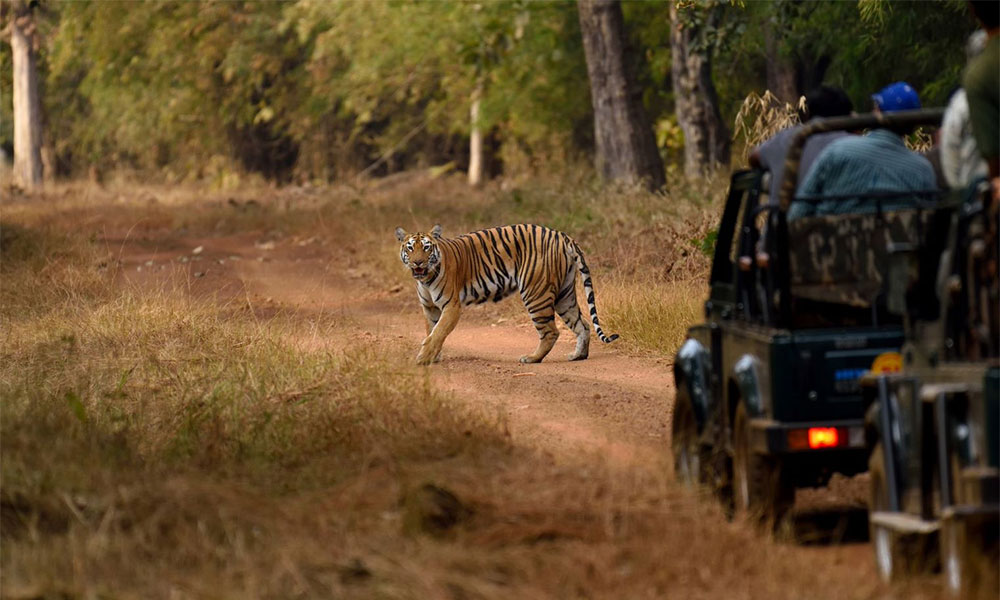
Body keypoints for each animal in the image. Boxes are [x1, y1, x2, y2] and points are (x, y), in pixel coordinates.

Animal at [396, 224, 616, 366]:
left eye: (426, 247)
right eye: (410, 247)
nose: (417, 262)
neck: (425, 279)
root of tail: (561, 235)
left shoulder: (451, 306)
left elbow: (438, 332)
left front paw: (423, 358)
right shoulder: (430, 307)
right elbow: (432, 331)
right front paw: (433, 356)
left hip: (535, 293)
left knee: (551, 332)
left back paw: (532, 358)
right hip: (565, 295)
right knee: (583, 324)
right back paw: (578, 356)